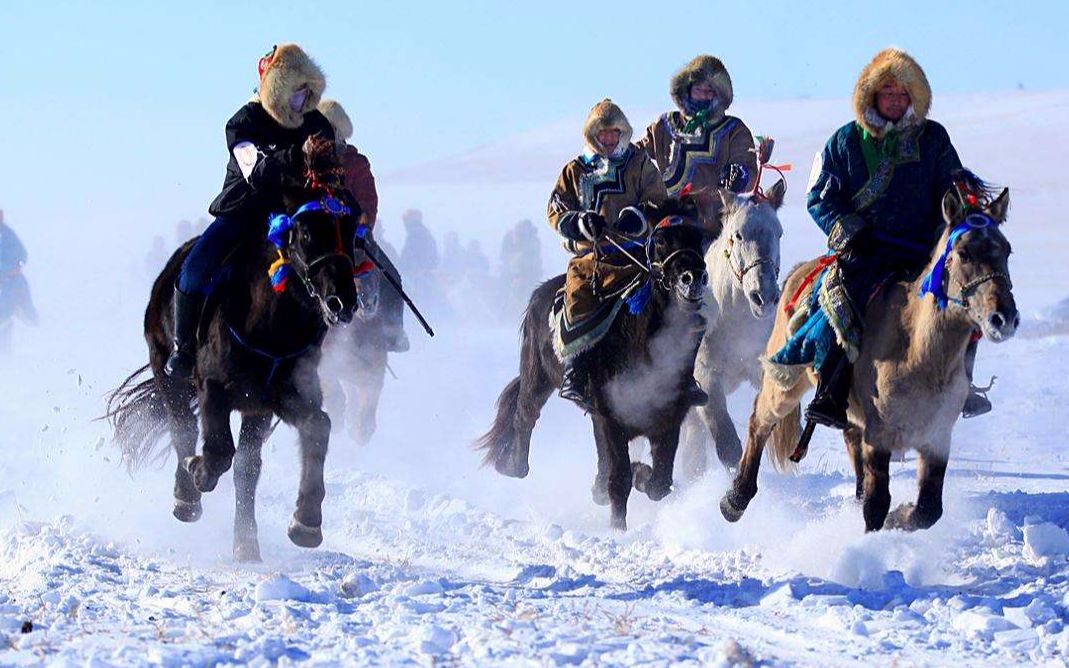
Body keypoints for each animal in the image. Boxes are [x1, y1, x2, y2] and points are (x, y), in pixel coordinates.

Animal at [105, 137, 361, 560]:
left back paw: (246, 543)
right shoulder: (214, 386)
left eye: (353, 230)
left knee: (246, 468)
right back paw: (186, 498)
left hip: (255, 409)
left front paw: (306, 523)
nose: (342, 302)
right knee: (182, 428)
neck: (270, 323)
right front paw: (198, 471)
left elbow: (316, 427)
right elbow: (216, 449)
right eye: (306, 232)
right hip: (167, 371)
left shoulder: (279, 396)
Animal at [476, 195, 709, 527]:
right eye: (662, 240)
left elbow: (660, 484)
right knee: (524, 415)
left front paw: (639, 475)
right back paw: (513, 465)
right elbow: (620, 478)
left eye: (699, 237)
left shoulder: (668, 419)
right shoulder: (611, 417)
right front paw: (617, 526)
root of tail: (539, 292)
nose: (693, 279)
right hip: (538, 376)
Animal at [675, 179, 786, 476]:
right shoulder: (706, 377)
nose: (764, 297)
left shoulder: (761, 370)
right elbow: (727, 445)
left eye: (779, 233)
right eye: (738, 235)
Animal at [718, 177, 1017, 532]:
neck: (920, 354)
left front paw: (900, 517)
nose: (1003, 318)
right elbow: (877, 503)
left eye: (1007, 251)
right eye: (963, 253)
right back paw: (734, 500)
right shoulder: (880, 434)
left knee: (848, 437)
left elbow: (928, 508)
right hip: (785, 383)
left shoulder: (937, 435)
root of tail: (798, 271)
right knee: (760, 422)